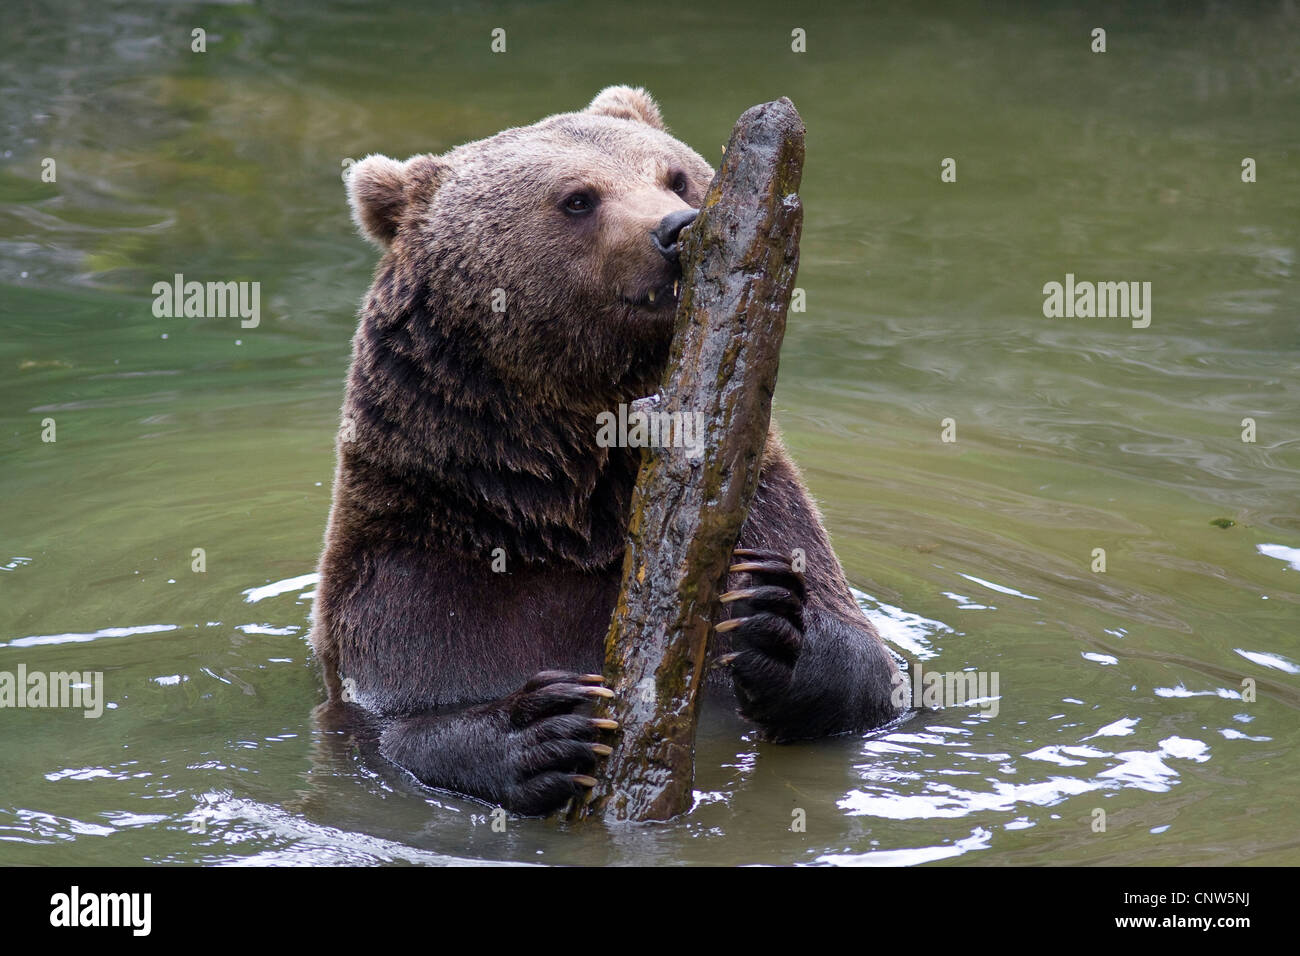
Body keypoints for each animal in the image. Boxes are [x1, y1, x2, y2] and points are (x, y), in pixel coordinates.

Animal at [313, 85, 904, 816]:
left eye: (676, 176)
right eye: (577, 199)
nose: (677, 228)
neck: (568, 507)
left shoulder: (767, 503)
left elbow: (867, 667)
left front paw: (768, 617)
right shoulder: (420, 576)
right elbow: (397, 722)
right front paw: (543, 727)